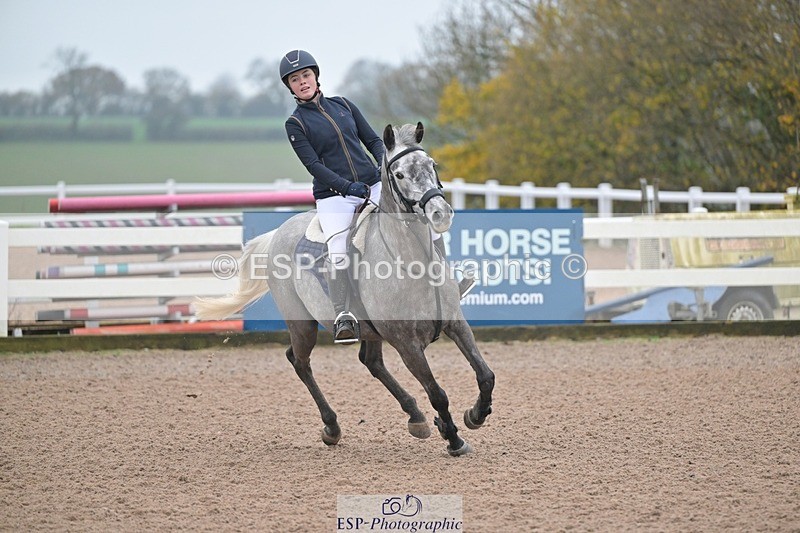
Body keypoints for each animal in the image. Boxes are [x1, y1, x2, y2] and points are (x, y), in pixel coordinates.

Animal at [195, 122, 494, 456]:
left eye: (432, 165)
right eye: (399, 174)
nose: (440, 213)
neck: (413, 263)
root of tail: (276, 234)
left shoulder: (456, 323)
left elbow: (485, 375)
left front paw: (475, 415)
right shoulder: (406, 344)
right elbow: (437, 392)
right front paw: (454, 438)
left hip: (369, 330)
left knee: (371, 362)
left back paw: (416, 417)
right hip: (302, 326)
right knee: (299, 361)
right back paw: (332, 427)